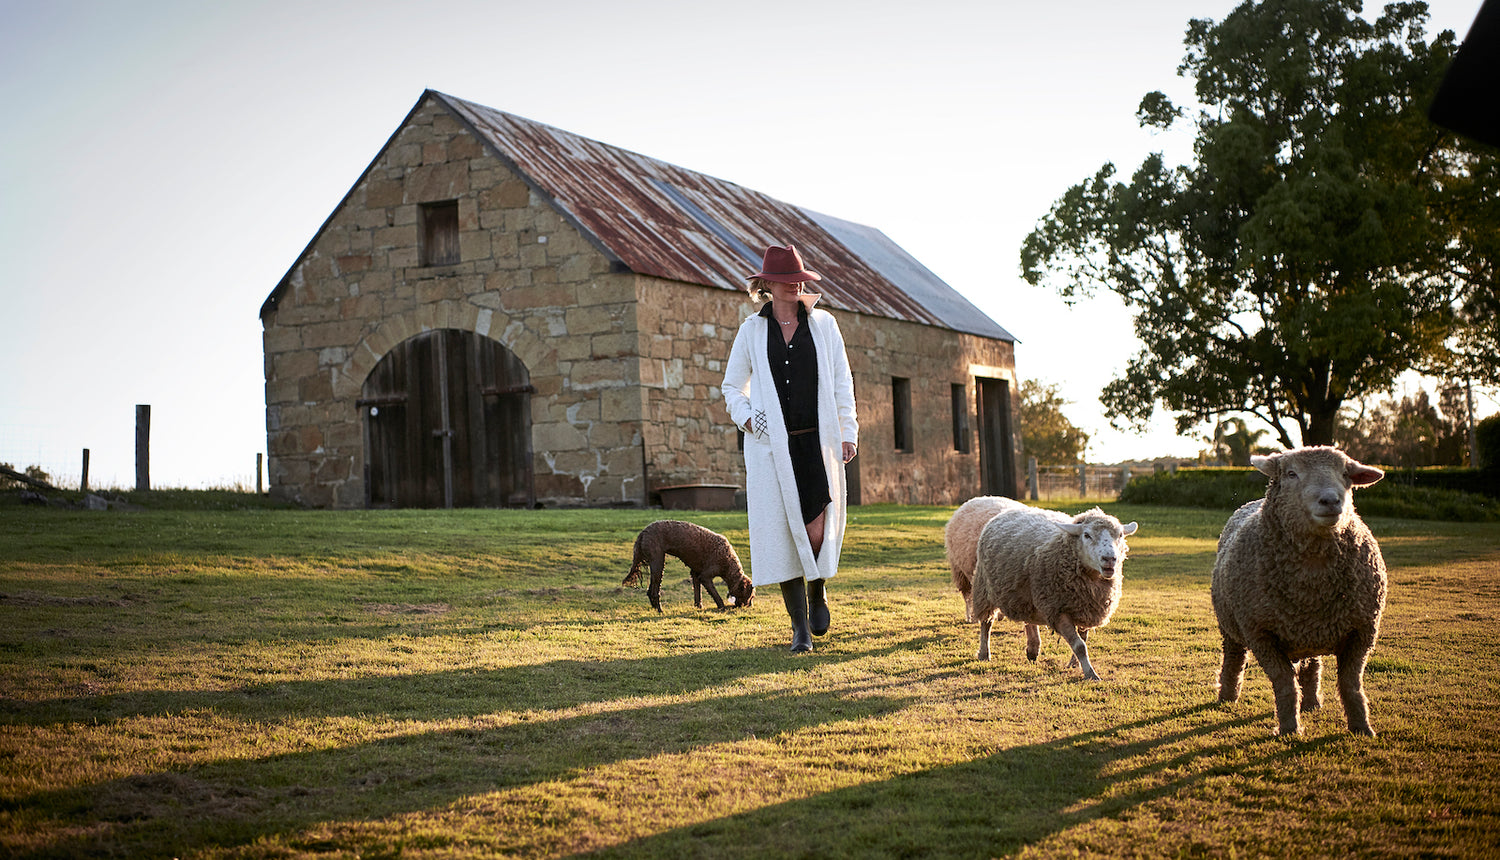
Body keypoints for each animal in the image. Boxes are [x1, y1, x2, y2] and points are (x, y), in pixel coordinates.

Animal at [618, 519, 756, 612]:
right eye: (750, 595)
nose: (750, 606)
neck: (728, 562)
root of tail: (643, 532)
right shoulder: (705, 576)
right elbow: (715, 594)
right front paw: (721, 607)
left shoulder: (695, 573)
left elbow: (697, 594)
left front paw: (699, 607)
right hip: (658, 562)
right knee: (654, 591)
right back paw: (660, 610)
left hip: (656, 564)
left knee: (650, 590)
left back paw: (655, 608)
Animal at [972, 504, 1134, 678]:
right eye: (1086, 535)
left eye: (1120, 535)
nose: (1109, 559)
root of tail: (1008, 511)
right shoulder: (1058, 611)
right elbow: (1079, 646)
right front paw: (1090, 674)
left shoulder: (1086, 609)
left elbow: (1083, 639)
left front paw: (1075, 664)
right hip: (984, 588)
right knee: (986, 623)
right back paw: (984, 653)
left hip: (1027, 594)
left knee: (1029, 619)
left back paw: (1032, 650)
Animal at [1212, 447, 1386, 735]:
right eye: (1292, 473)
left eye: (1345, 474)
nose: (1331, 500)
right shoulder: (1261, 634)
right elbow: (1284, 683)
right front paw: (1289, 729)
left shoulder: (1363, 631)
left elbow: (1351, 683)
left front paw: (1362, 728)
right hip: (1231, 627)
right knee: (1234, 658)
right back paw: (1227, 696)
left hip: (1311, 635)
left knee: (1312, 666)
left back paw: (1312, 702)